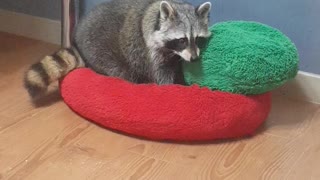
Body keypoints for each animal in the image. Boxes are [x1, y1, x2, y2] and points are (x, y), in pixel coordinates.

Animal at [23, 0, 211, 99]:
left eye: (198, 39)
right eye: (182, 40)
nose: (194, 58)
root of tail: (78, 41)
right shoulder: (150, 52)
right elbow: (161, 75)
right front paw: (174, 88)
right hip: (100, 50)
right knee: (121, 71)